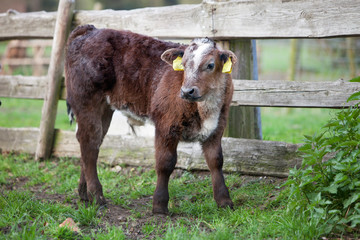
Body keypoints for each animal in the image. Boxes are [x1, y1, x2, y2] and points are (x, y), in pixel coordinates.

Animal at [65, 24, 236, 214]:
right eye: (183, 65)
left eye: (210, 65)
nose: (187, 91)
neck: (205, 109)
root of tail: (90, 30)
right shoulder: (166, 125)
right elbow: (165, 163)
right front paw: (160, 205)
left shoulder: (217, 127)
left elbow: (216, 161)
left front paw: (224, 201)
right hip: (86, 101)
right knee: (89, 143)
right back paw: (97, 196)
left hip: (104, 108)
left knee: (92, 144)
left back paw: (84, 194)